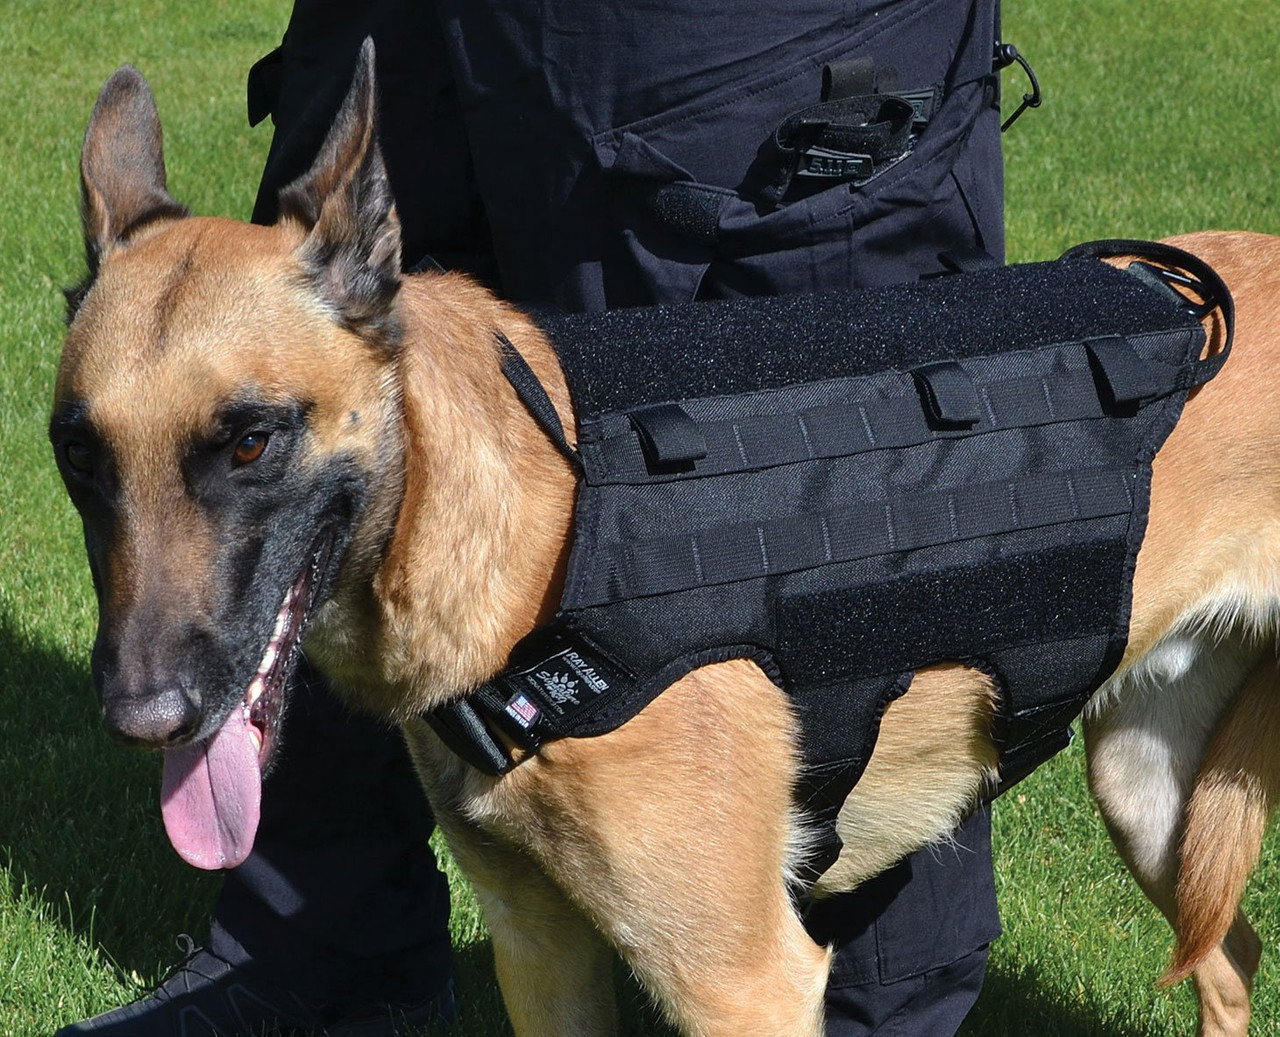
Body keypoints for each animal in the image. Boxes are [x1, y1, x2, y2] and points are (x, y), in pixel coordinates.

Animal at [55, 42, 1280, 1034]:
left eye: (252, 442)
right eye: (78, 456)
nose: (139, 716)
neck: (535, 539)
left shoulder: (743, 980)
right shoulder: (540, 947)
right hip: (1146, 791)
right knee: (1232, 952)